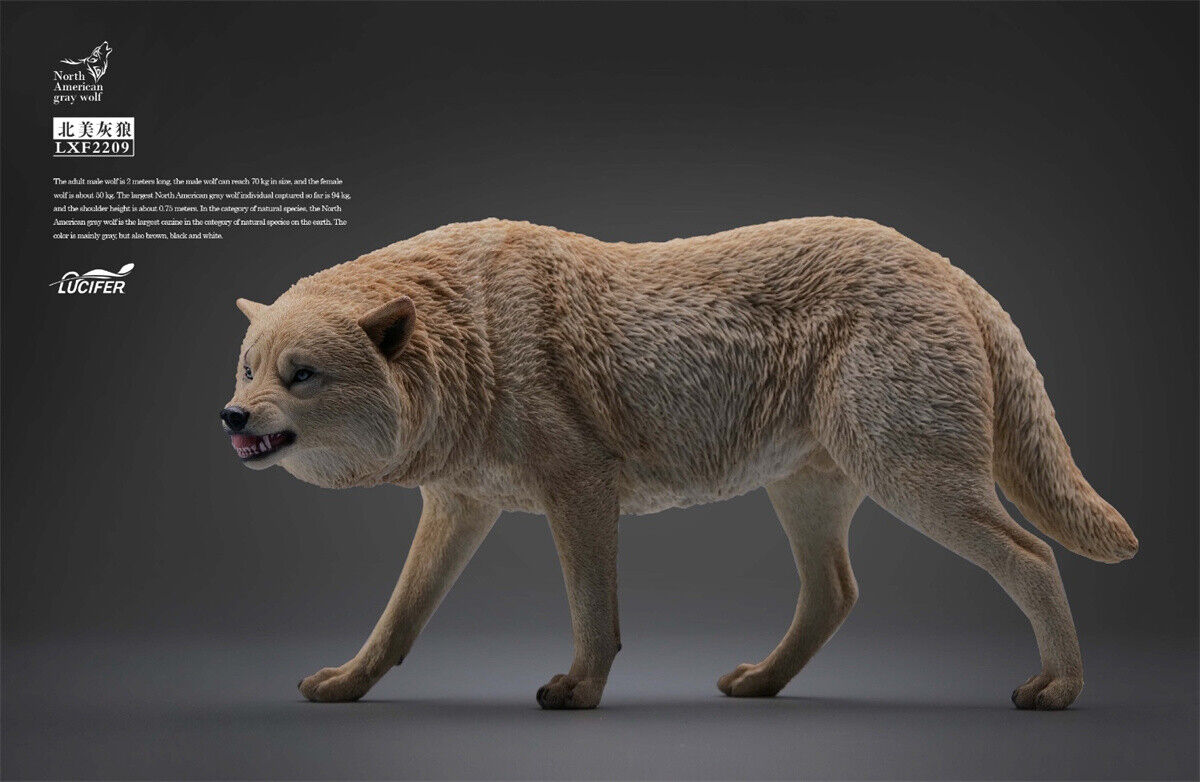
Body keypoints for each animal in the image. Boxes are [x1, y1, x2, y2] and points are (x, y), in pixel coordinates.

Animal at [222, 217, 1136, 710]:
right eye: (248, 368)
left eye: (301, 376)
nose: (230, 418)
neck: (472, 337)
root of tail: (944, 265)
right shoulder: (459, 506)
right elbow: (397, 620)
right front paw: (345, 684)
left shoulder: (580, 491)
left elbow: (594, 614)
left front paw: (579, 693)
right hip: (812, 496)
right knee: (836, 593)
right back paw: (761, 682)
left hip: (917, 484)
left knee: (1034, 557)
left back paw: (1057, 689)